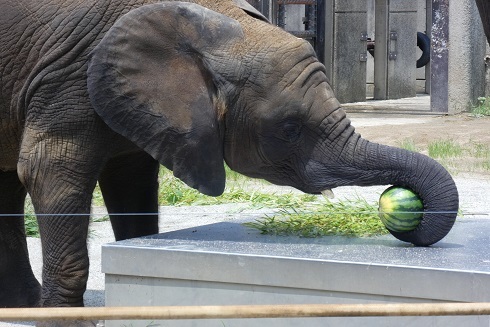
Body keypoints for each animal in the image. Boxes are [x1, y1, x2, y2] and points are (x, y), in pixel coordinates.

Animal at [0, 0, 460, 320]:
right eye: (290, 128)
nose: (409, 216)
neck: (208, 23)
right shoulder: (66, 80)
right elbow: (49, 172)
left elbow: (131, 183)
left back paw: (24, 307)